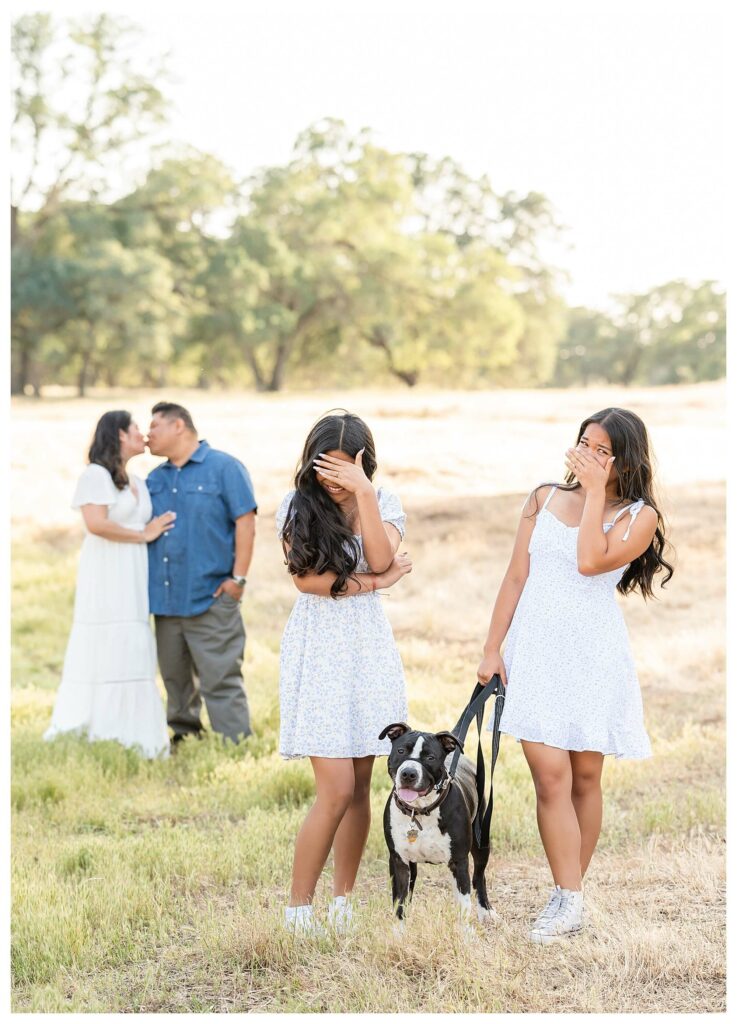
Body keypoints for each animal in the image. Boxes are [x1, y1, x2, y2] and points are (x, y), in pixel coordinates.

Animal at [380, 720, 495, 929]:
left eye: (430, 757)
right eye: (401, 751)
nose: (408, 773)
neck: (420, 810)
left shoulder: (459, 860)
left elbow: (464, 903)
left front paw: (465, 934)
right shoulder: (399, 861)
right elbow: (400, 901)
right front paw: (399, 932)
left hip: (481, 840)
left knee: (478, 877)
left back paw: (486, 911)